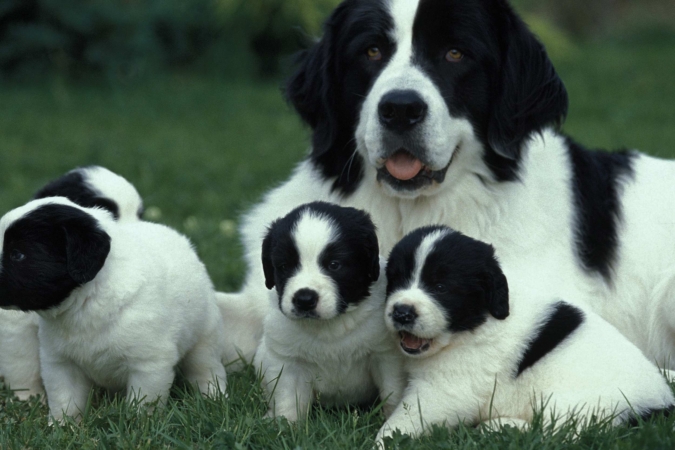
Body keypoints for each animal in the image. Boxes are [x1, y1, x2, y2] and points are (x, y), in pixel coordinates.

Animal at [0, 198, 227, 422]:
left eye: (17, 255)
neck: (87, 302)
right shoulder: (60, 362)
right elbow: (64, 400)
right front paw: (62, 426)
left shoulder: (149, 364)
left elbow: (143, 403)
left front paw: (137, 424)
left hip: (204, 337)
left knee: (206, 368)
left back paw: (213, 397)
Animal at [254, 203, 404, 422]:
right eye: (284, 266)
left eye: (334, 265)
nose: (304, 300)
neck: (331, 326)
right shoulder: (287, 361)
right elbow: (288, 400)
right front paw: (286, 426)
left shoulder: (385, 355)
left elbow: (392, 390)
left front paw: (392, 418)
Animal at [374, 227, 675, 444]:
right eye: (396, 280)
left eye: (440, 287)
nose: (402, 312)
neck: (478, 322)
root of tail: (660, 402)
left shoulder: (445, 389)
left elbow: (407, 418)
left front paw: (383, 441)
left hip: (573, 399)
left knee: (561, 432)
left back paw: (498, 426)